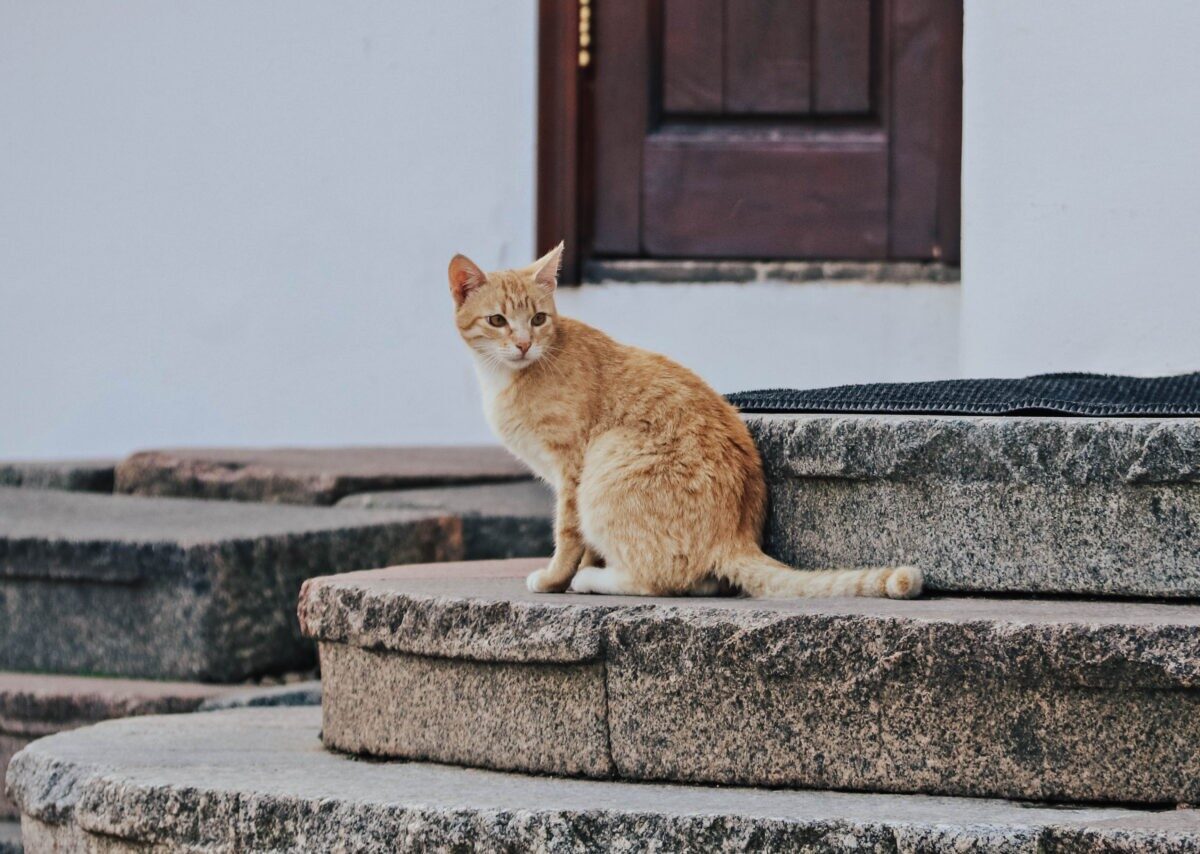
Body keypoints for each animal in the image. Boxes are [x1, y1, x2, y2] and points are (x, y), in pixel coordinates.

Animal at [446, 242, 921, 599]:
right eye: (498, 320)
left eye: (539, 319)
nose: (524, 343)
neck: (508, 377)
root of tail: (734, 535)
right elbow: (585, 541)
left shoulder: (571, 469)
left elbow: (568, 533)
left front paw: (555, 578)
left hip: (607, 456)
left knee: (657, 581)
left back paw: (592, 579)